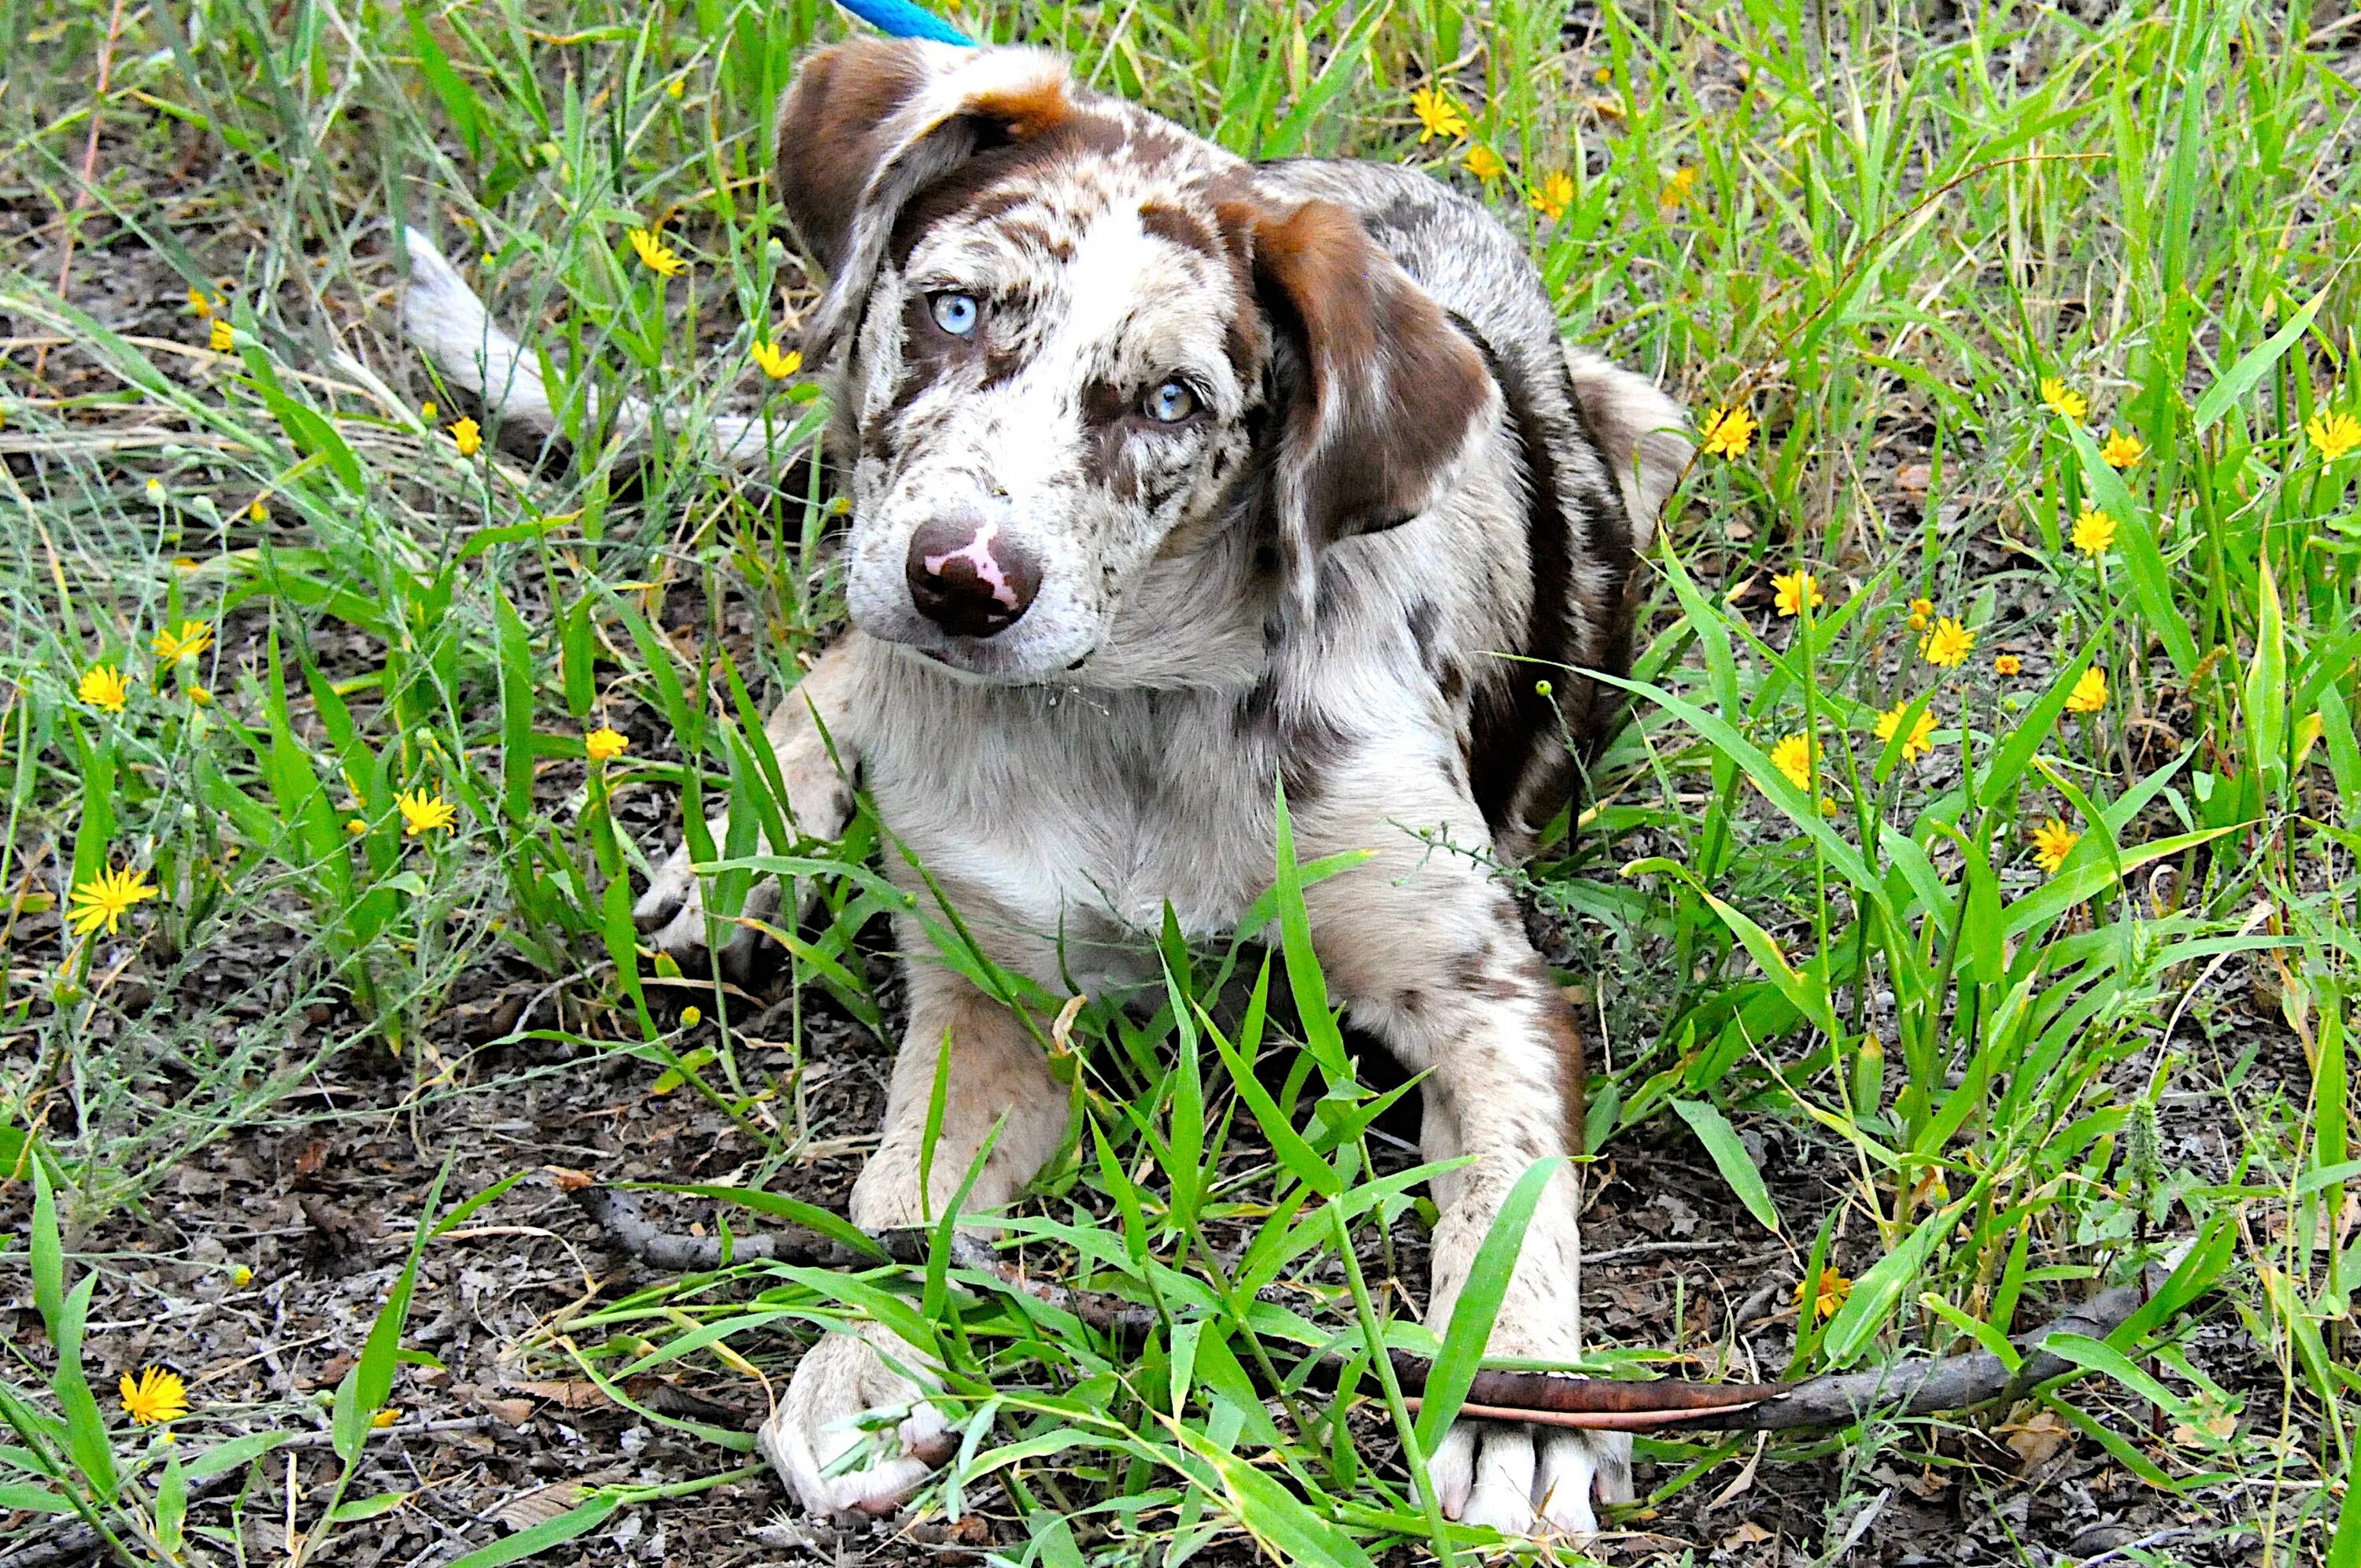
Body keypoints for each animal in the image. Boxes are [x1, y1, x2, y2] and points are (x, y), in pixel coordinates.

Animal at [411, 39, 1700, 1539]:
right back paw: (746, 856)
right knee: (848, 656)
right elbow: (903, 1186)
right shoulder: (993, 995)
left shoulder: (1485, 988)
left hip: (1652, 427)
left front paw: (1523, 1399)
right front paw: (866, 1357)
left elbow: (1507, 1190)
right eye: (955, 308)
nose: (965, 581)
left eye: (1172, 401)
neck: (1132, 707)